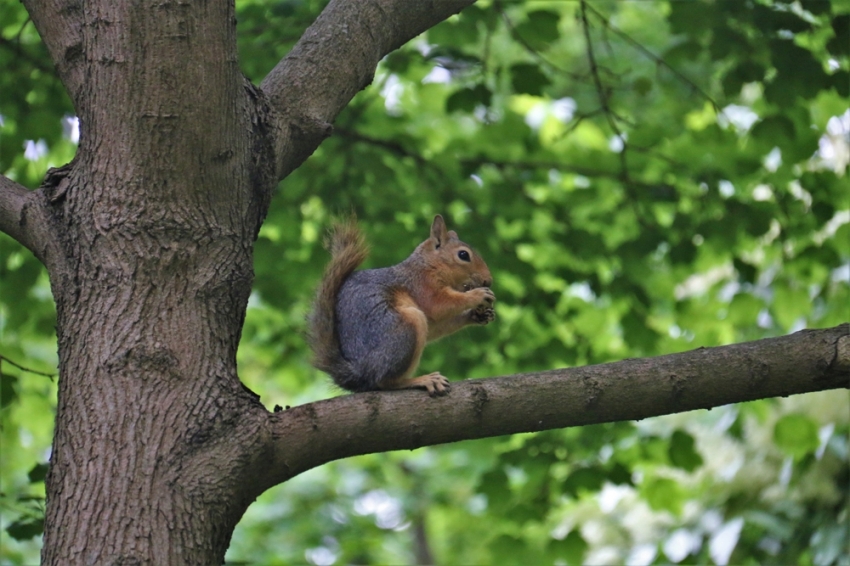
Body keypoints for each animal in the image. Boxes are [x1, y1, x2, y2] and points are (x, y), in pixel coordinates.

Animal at [306, 215, 494, 398]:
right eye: (463, 255)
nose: (488, 281)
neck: (429, 265)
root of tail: (360, 372)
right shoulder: (422, 286)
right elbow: (439, 305)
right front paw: (477, 295)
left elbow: (437, 327)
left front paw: (477, 315)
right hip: (405, 328)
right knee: (384, 382)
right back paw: (422, 380)